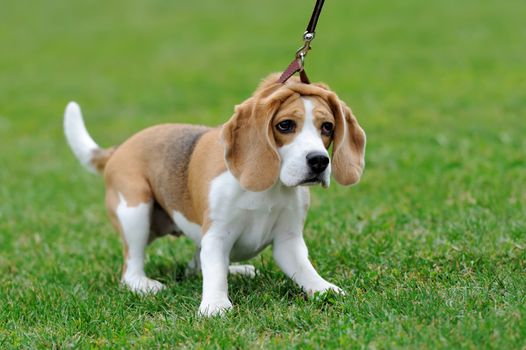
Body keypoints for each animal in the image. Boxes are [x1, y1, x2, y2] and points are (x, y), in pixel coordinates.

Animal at [63, 72, 368, 316]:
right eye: (285, 125)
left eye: (327, 127)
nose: (319, 162)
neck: (270, 188)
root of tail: (118, 149)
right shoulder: (216, 235)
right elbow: (214, 273)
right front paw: (215, 305)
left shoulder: (288, 240)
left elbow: (304, 269)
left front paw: (325, 289)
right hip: (136, 210)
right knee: (132, 267)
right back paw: (145, 285)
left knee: (196, 267)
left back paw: (238, 270)